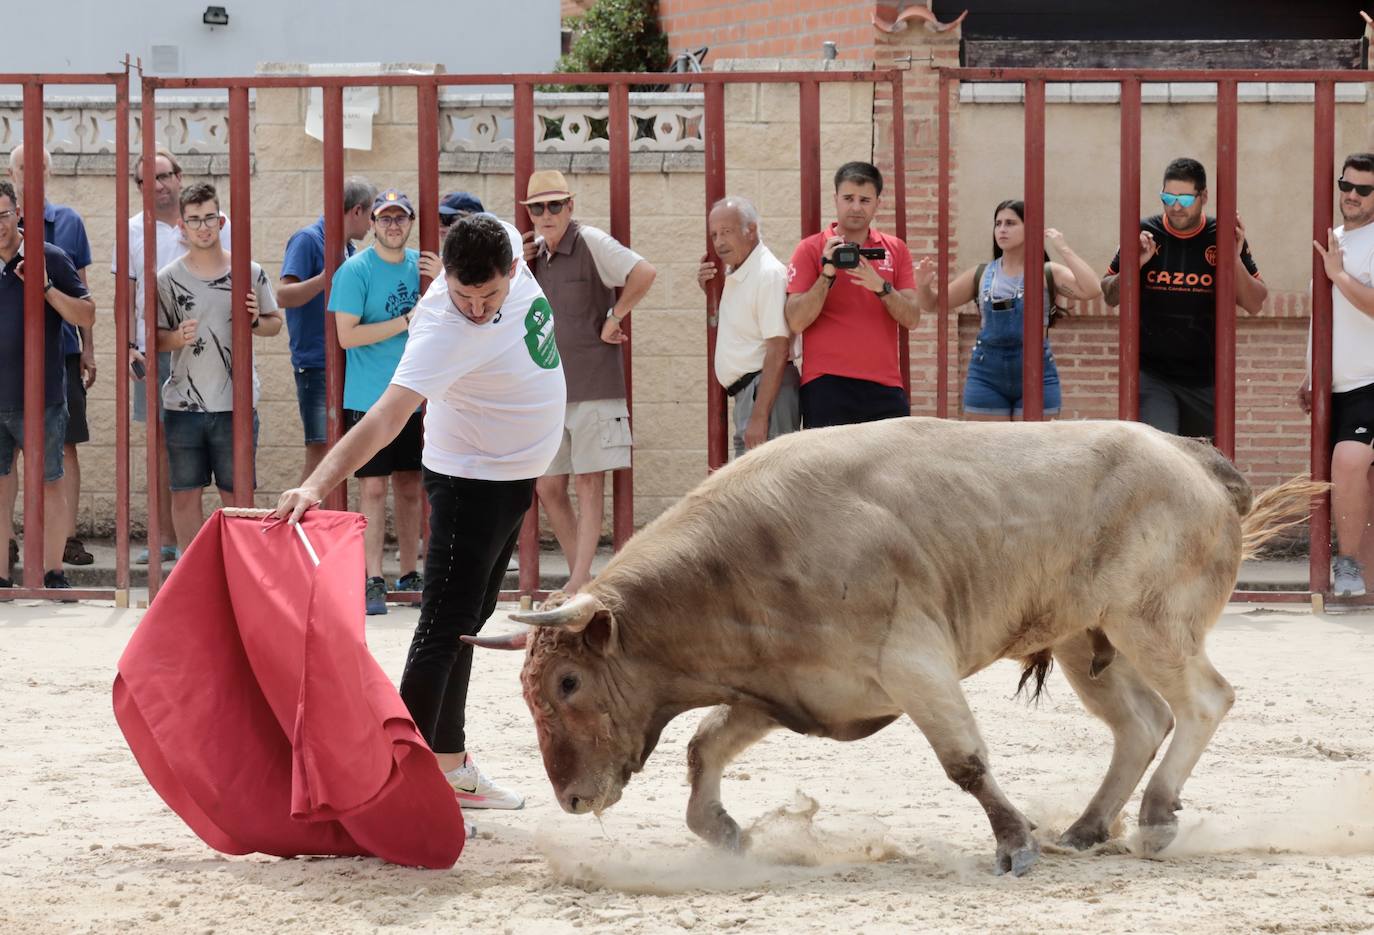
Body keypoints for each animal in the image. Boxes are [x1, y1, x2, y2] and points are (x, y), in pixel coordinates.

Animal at [472, 418, 1319, 874]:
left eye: (569, 684)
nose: (570, 797)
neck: (741, 560)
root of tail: (1190, 455)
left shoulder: (913, 663)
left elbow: (965, 761)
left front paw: (1014, 844)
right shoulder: (791, 688)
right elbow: (705, 743)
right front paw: (726, 831)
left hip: (1152, 621)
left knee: (1203, 700)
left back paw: (1156, 816)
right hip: (1089, 639)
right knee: (1141, 722)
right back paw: (1087, 825)